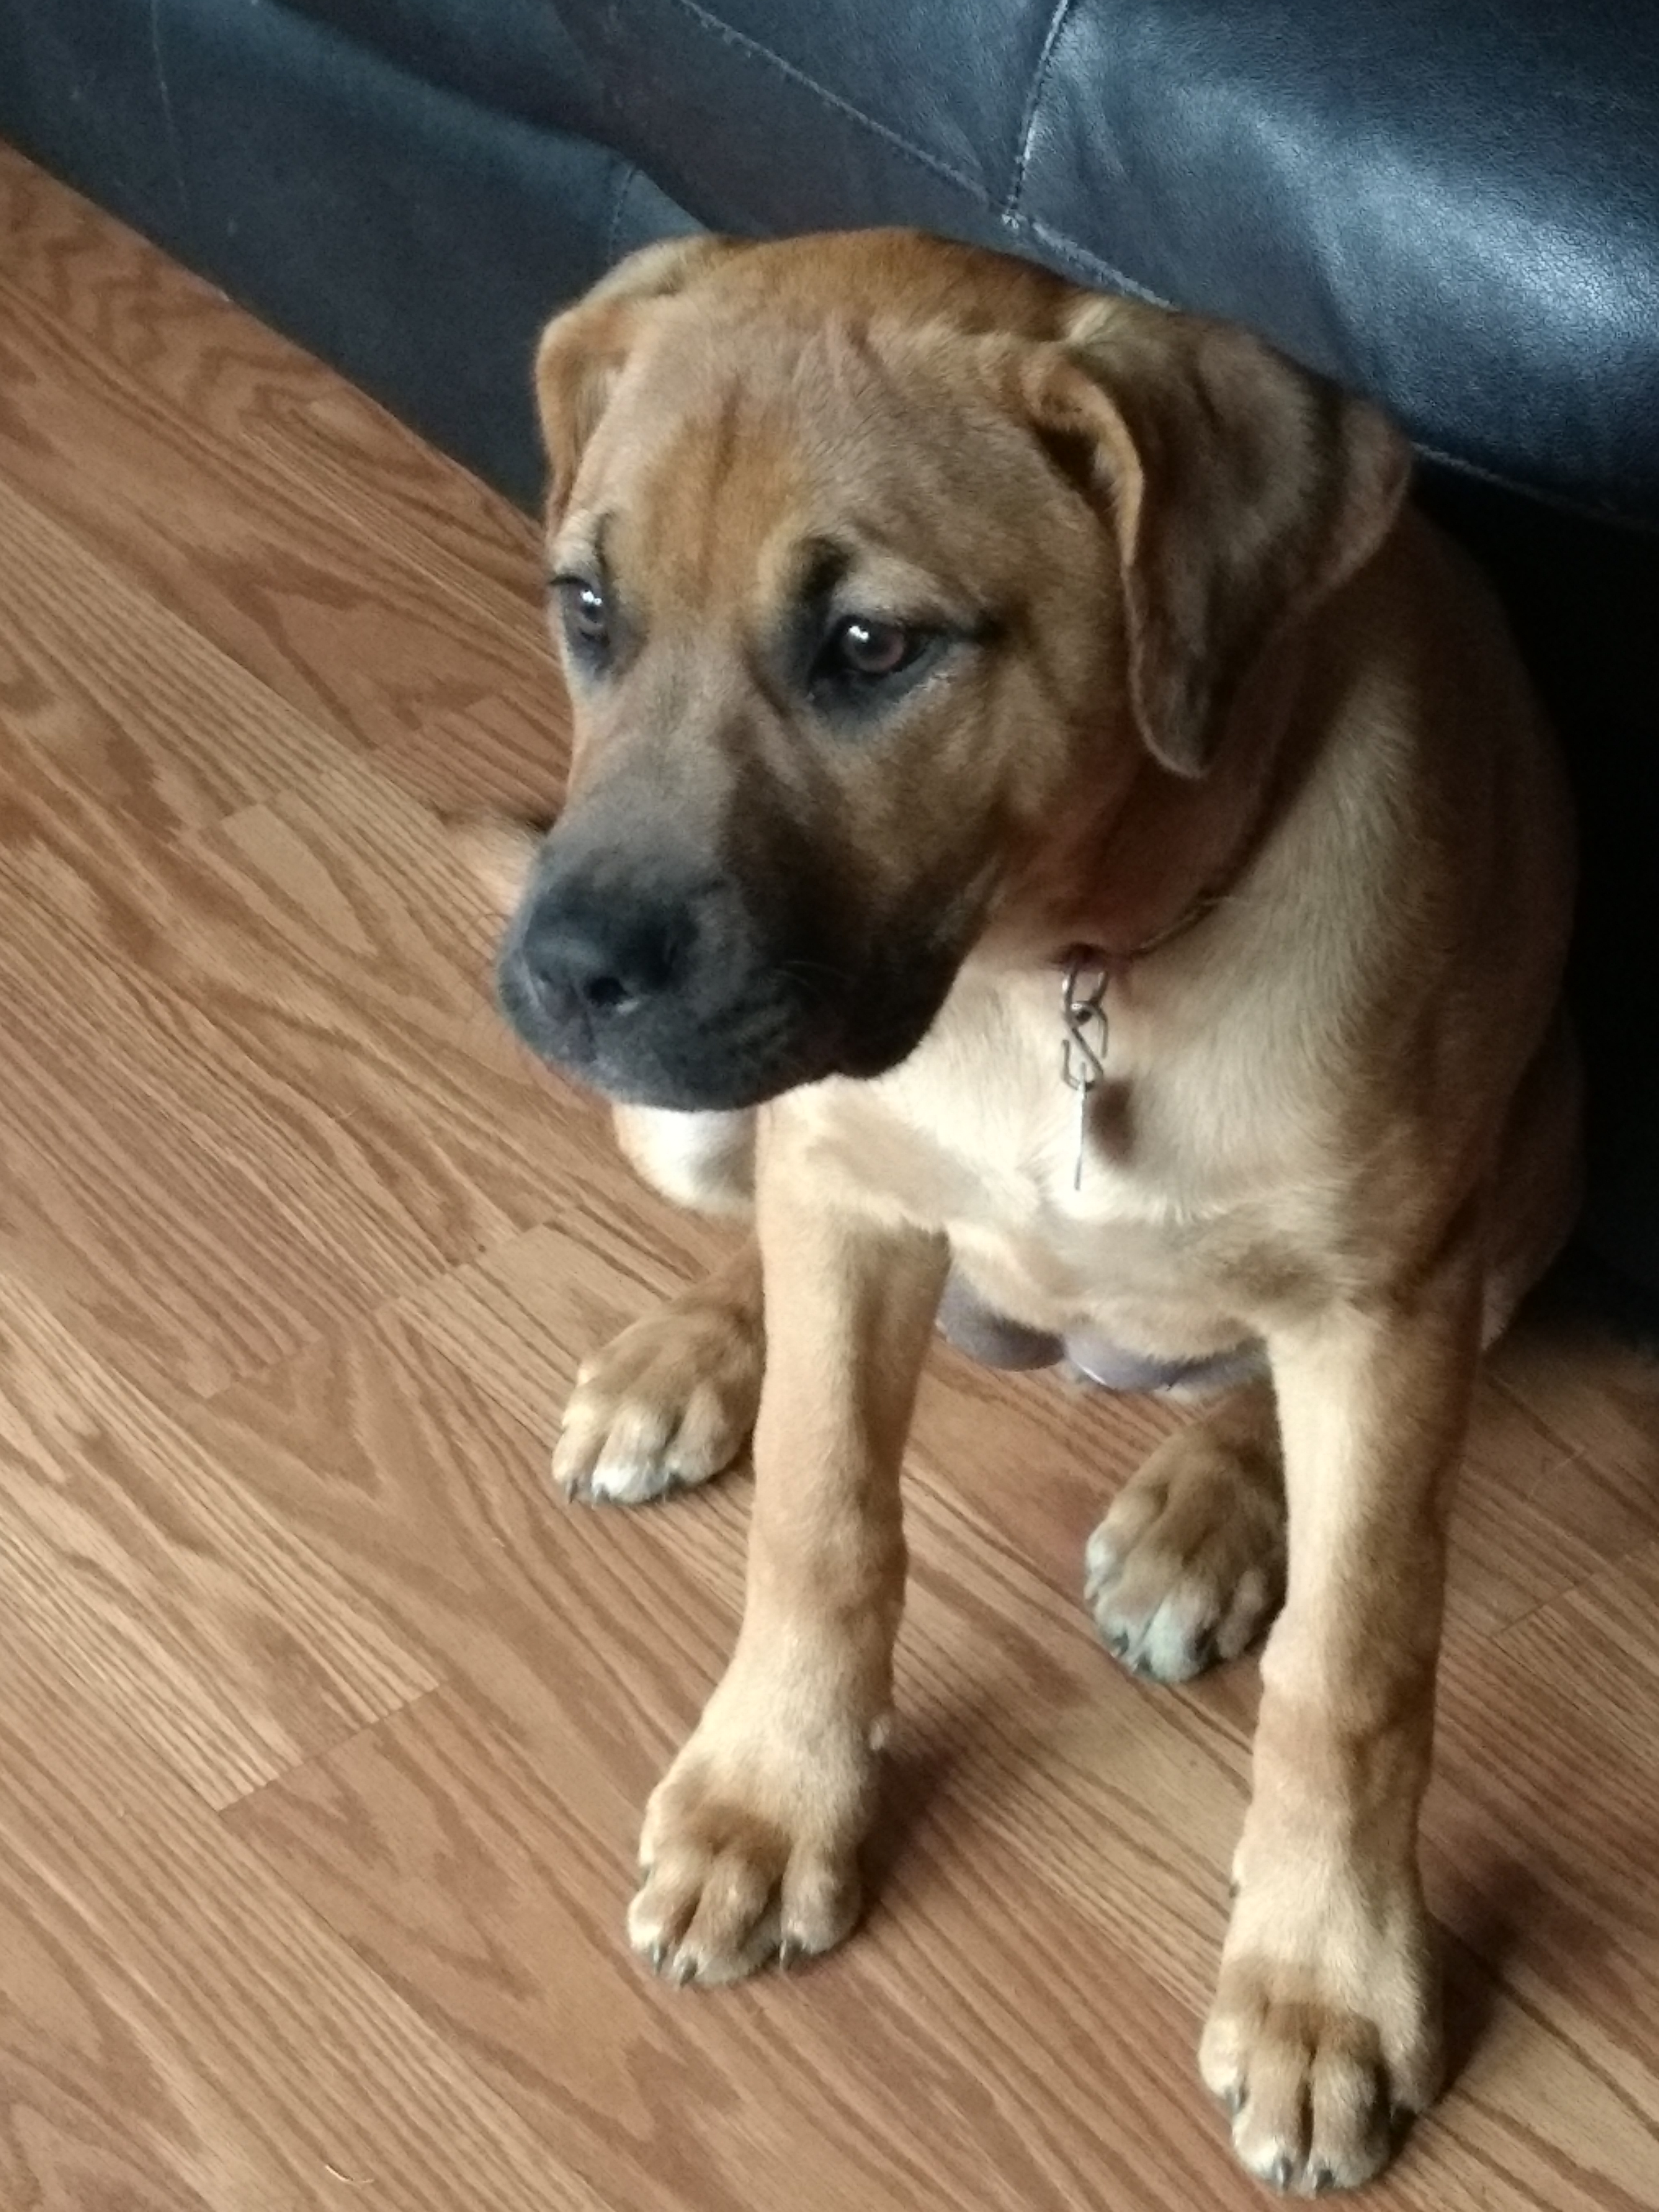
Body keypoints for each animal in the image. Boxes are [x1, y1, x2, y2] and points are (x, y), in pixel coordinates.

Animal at [485, 230, 1580, 2195]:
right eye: (589, 608)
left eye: (870, 646)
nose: (562, 975)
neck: (1065, 966)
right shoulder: (845, 1187)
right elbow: (822, 1520)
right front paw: (774, 1793)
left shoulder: (1390, 1296)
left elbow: (1355, 1666)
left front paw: (1324, 1978)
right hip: (736, 1129)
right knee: (759, 1241)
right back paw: (690, 1351)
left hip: (1534, 1174)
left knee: (1258, 1402)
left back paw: (1203, 1508)